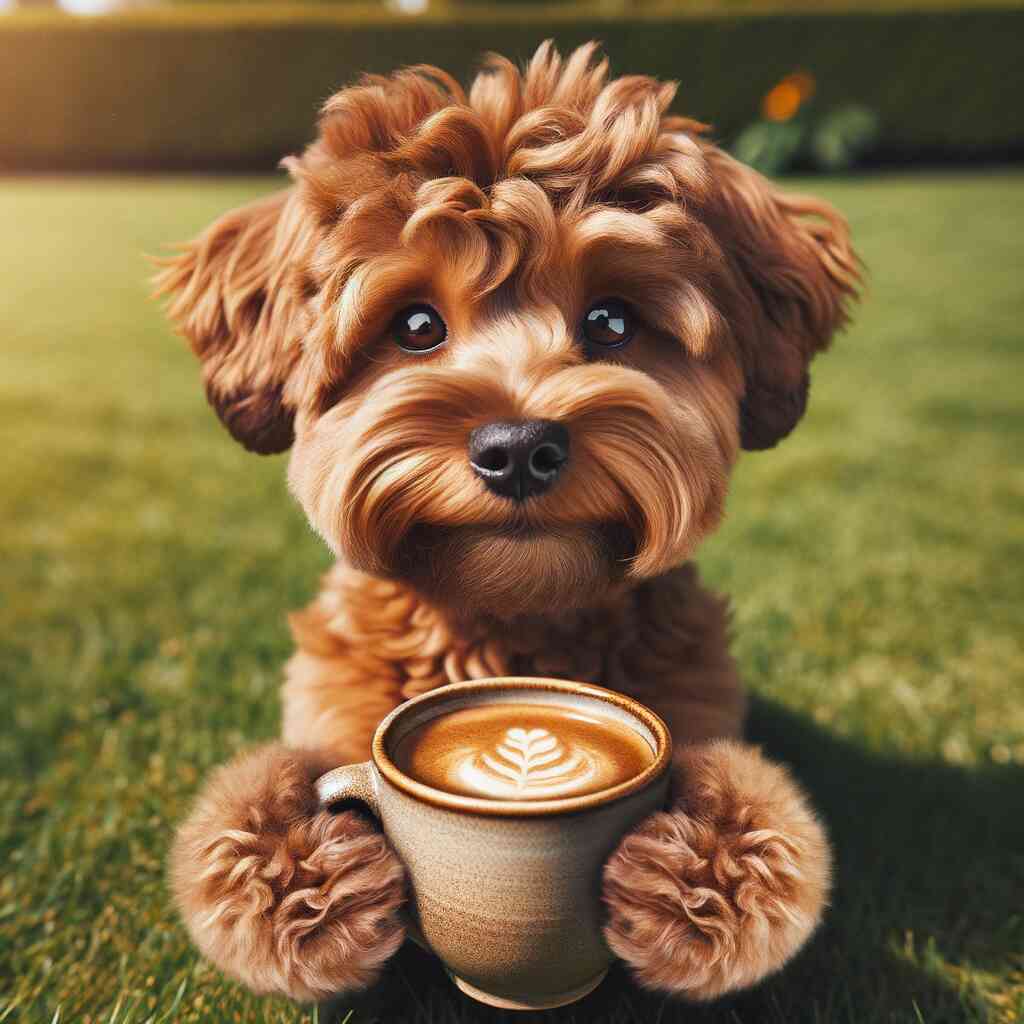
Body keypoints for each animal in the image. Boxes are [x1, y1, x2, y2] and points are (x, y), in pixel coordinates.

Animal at [155, 44, 860, 1003]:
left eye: (611, 320)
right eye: (416, 324)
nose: (519, 447)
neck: (513, 633)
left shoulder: (696, 699)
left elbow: (764, 804)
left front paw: (695, 876)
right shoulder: (332, 707)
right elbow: (266, 788)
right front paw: (303, 872)